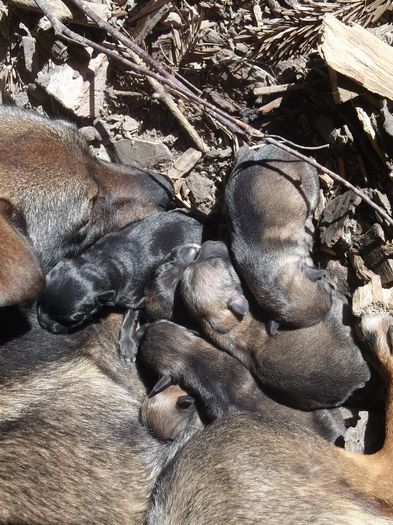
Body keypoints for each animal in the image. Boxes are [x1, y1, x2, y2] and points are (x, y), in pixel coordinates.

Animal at [37, 211, 202, 358]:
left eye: (73, 320)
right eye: (41, 301)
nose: (43, 323)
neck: (102, 263)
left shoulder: (136, 299)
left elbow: (129, 319)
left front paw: (127, 344)